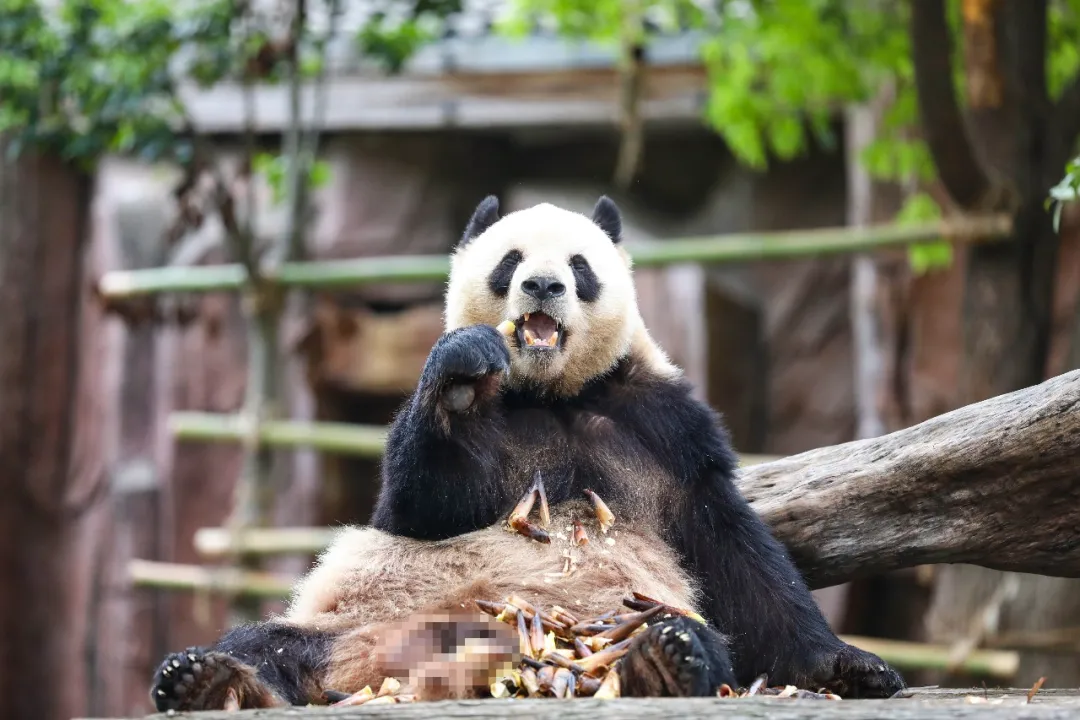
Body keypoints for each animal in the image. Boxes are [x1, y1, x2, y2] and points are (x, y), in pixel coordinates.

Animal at [152, 195, 907, 708]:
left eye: (580, 266)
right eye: (509, 262)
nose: (543, 285)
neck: (549, 393)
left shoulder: (663, 425)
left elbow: (735, 552)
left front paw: (847, 667)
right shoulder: (476, 442)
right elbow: (417, 509)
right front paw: (460, 378)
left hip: (609, 614)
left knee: (688, 635)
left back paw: (663, 660)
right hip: (356, 621)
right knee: (266, 644)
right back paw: (204, 679)